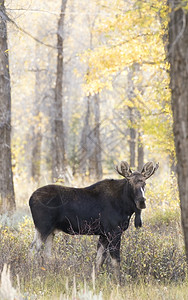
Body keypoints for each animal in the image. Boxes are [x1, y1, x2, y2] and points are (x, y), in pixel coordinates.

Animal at [29, 161, 159, 278]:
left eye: (145, 183)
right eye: (130, 182)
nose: (141, 201)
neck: (126, 207)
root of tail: (30, 199)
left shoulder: (103, 234)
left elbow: (99, 260)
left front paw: (95, 279)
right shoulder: (113, 231)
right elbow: (115, 260)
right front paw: (119, 282)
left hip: (49, 230)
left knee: (45, 253)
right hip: (43, 227)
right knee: (34, 250)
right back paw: (33, 274)